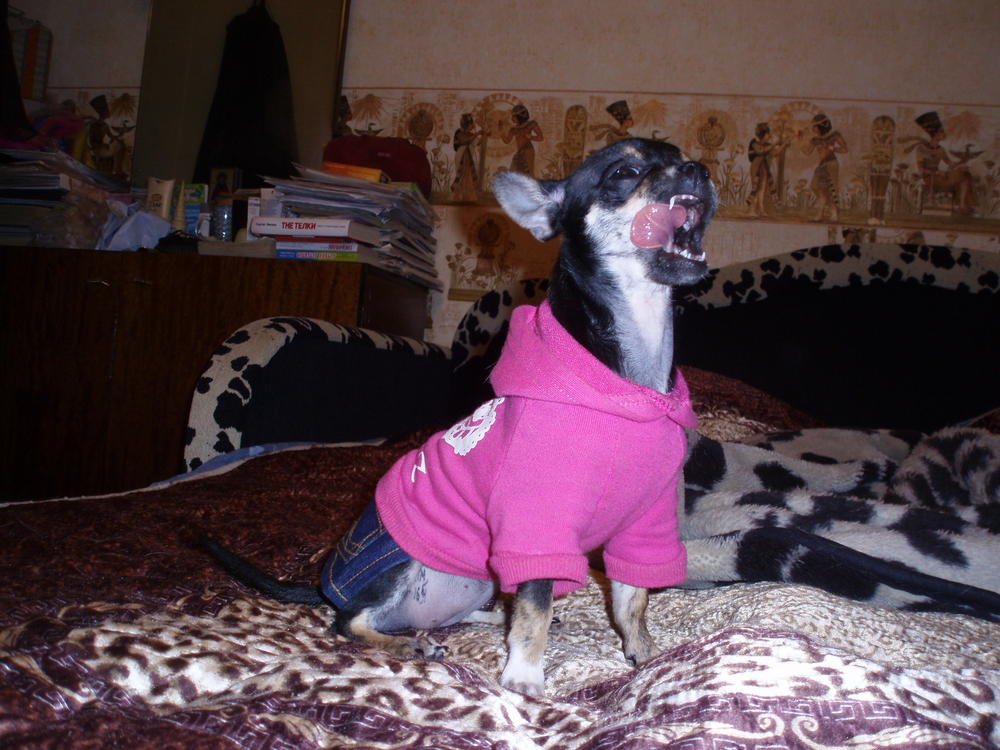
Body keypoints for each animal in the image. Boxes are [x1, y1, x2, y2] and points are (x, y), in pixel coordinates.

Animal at [203, 137, 717, 696]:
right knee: (349, 620)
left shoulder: (644, 526)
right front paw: (524, 677)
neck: (629, 384)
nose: (699, 169)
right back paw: (405, 643)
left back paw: (486, 622)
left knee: (462, 612)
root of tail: (327, 584)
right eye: (625, 171)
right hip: (401, 563)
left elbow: (630, 601)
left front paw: (645, 656)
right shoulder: (535, 526)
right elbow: (536, 604)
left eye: (682, 156)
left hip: (473, 577)